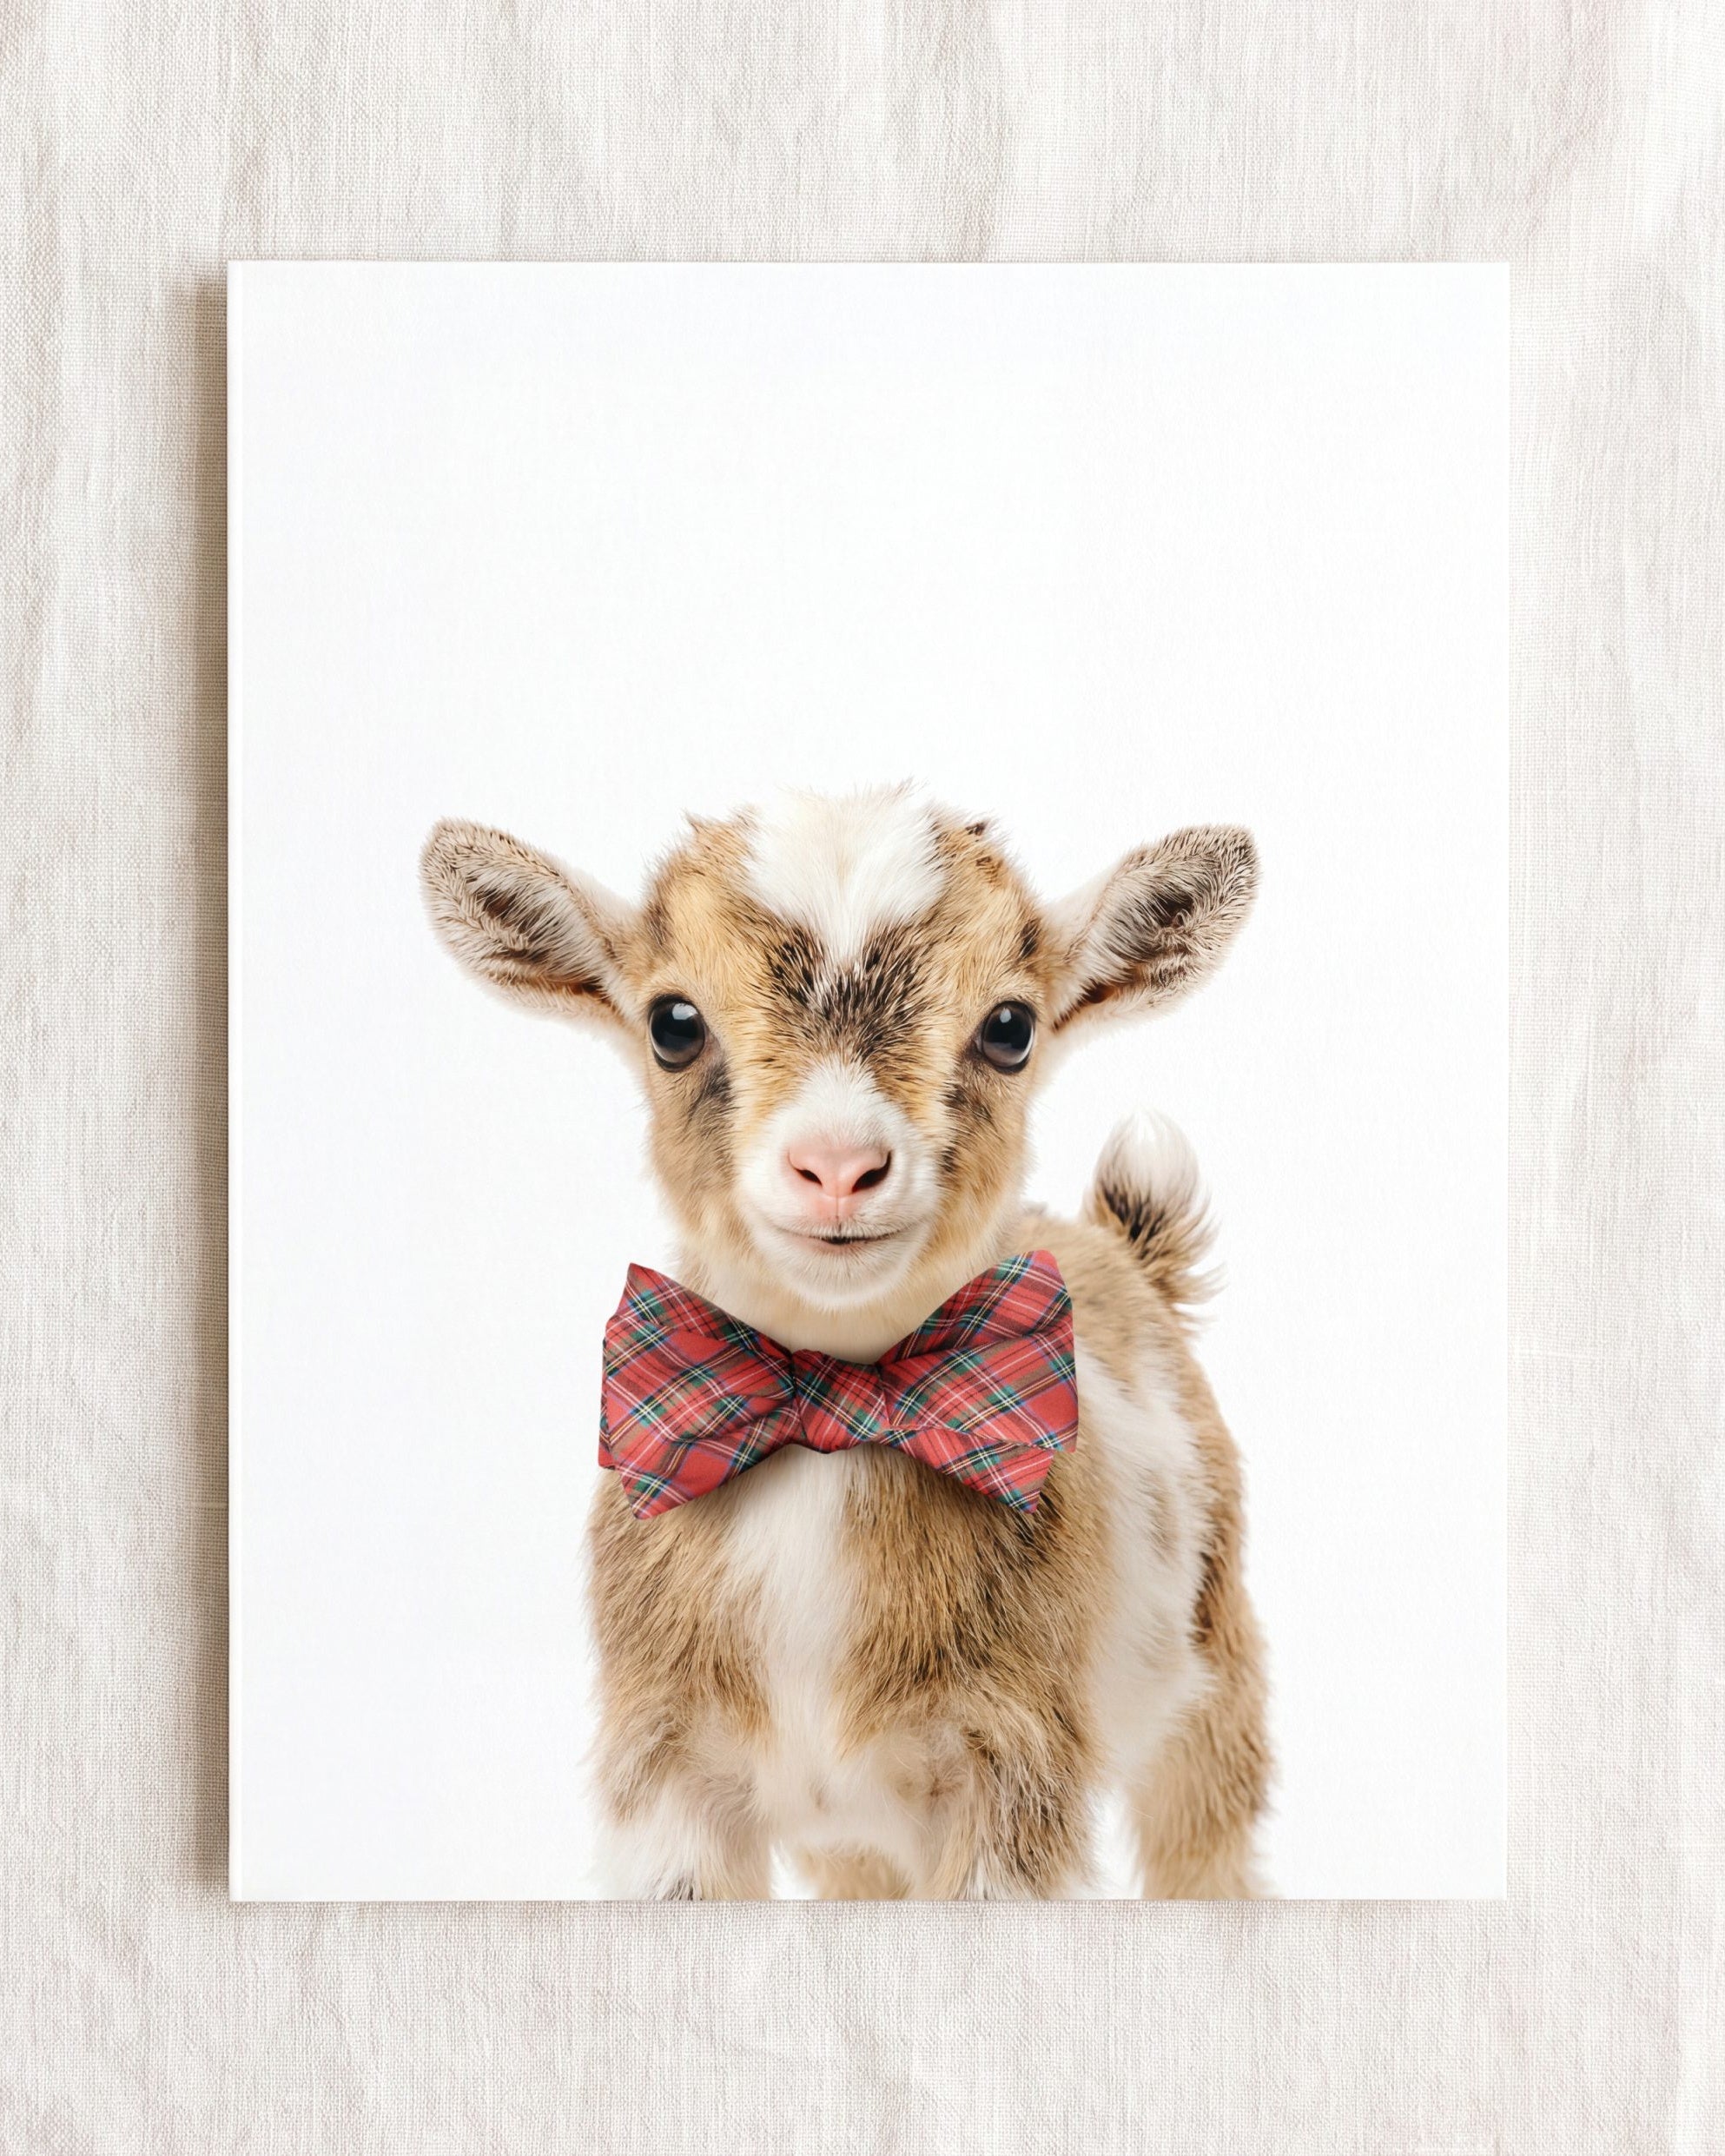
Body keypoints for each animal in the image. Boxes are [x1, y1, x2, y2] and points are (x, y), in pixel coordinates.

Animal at [421, 785, 1269, 1897]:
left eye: (1010, 1027)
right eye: (672, 1023)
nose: (836, 1166)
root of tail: (1126, 1250)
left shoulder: (1015, 1764)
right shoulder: (664, 1769)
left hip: (1215, 1677)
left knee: (1209, 1845)